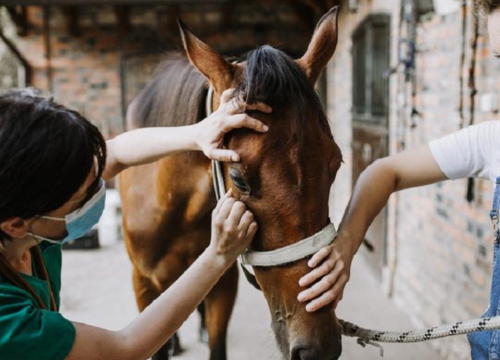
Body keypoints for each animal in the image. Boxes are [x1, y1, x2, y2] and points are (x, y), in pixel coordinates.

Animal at [118, 5, 344, 360]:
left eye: (335, 164)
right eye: (238, 178)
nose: (318, 348)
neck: (175, 205)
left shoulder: (223, 283)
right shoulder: (143, 284)